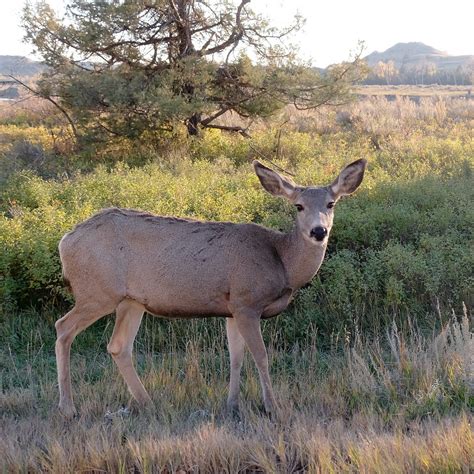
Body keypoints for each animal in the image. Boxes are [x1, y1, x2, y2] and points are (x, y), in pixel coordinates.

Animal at [55, 158, 366, 414]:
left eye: (331, 204)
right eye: (298, 206)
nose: (318, 231)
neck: (281, 260)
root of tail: (65, 241)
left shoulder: (232, 308)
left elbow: (236, 357)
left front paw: (232, 404)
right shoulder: (246, 301)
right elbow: (261, 356)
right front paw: (272, 407)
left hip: (131, 301)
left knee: (118, 346)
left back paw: (147, 402)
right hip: (96, 292)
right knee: (63, 328)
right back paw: (68, 408)